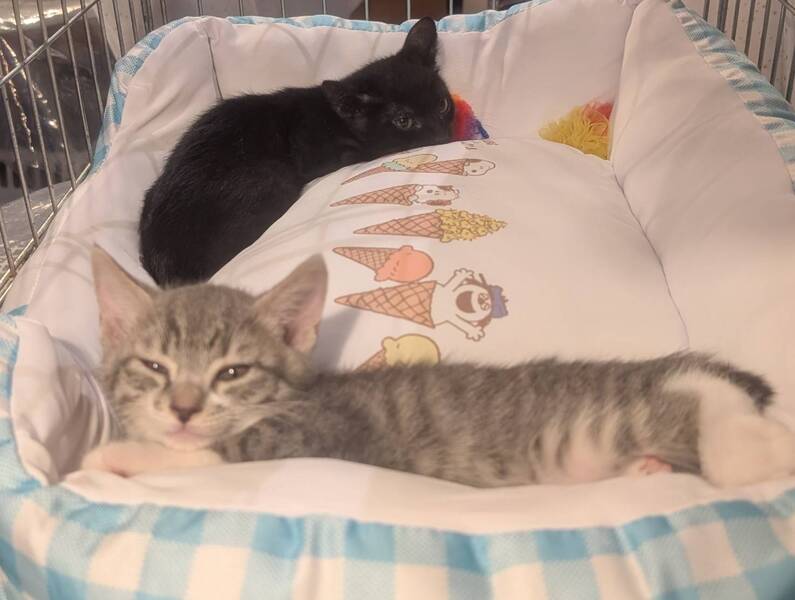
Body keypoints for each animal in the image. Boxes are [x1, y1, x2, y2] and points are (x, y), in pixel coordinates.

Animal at [82, 246, 795, 487]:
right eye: (154, 366)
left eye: (232, 372)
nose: (183, 408)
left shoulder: (327, 433)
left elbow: (216, 453)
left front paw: (112, 456)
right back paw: (650, 469)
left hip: (641, 414)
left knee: (727, 427)